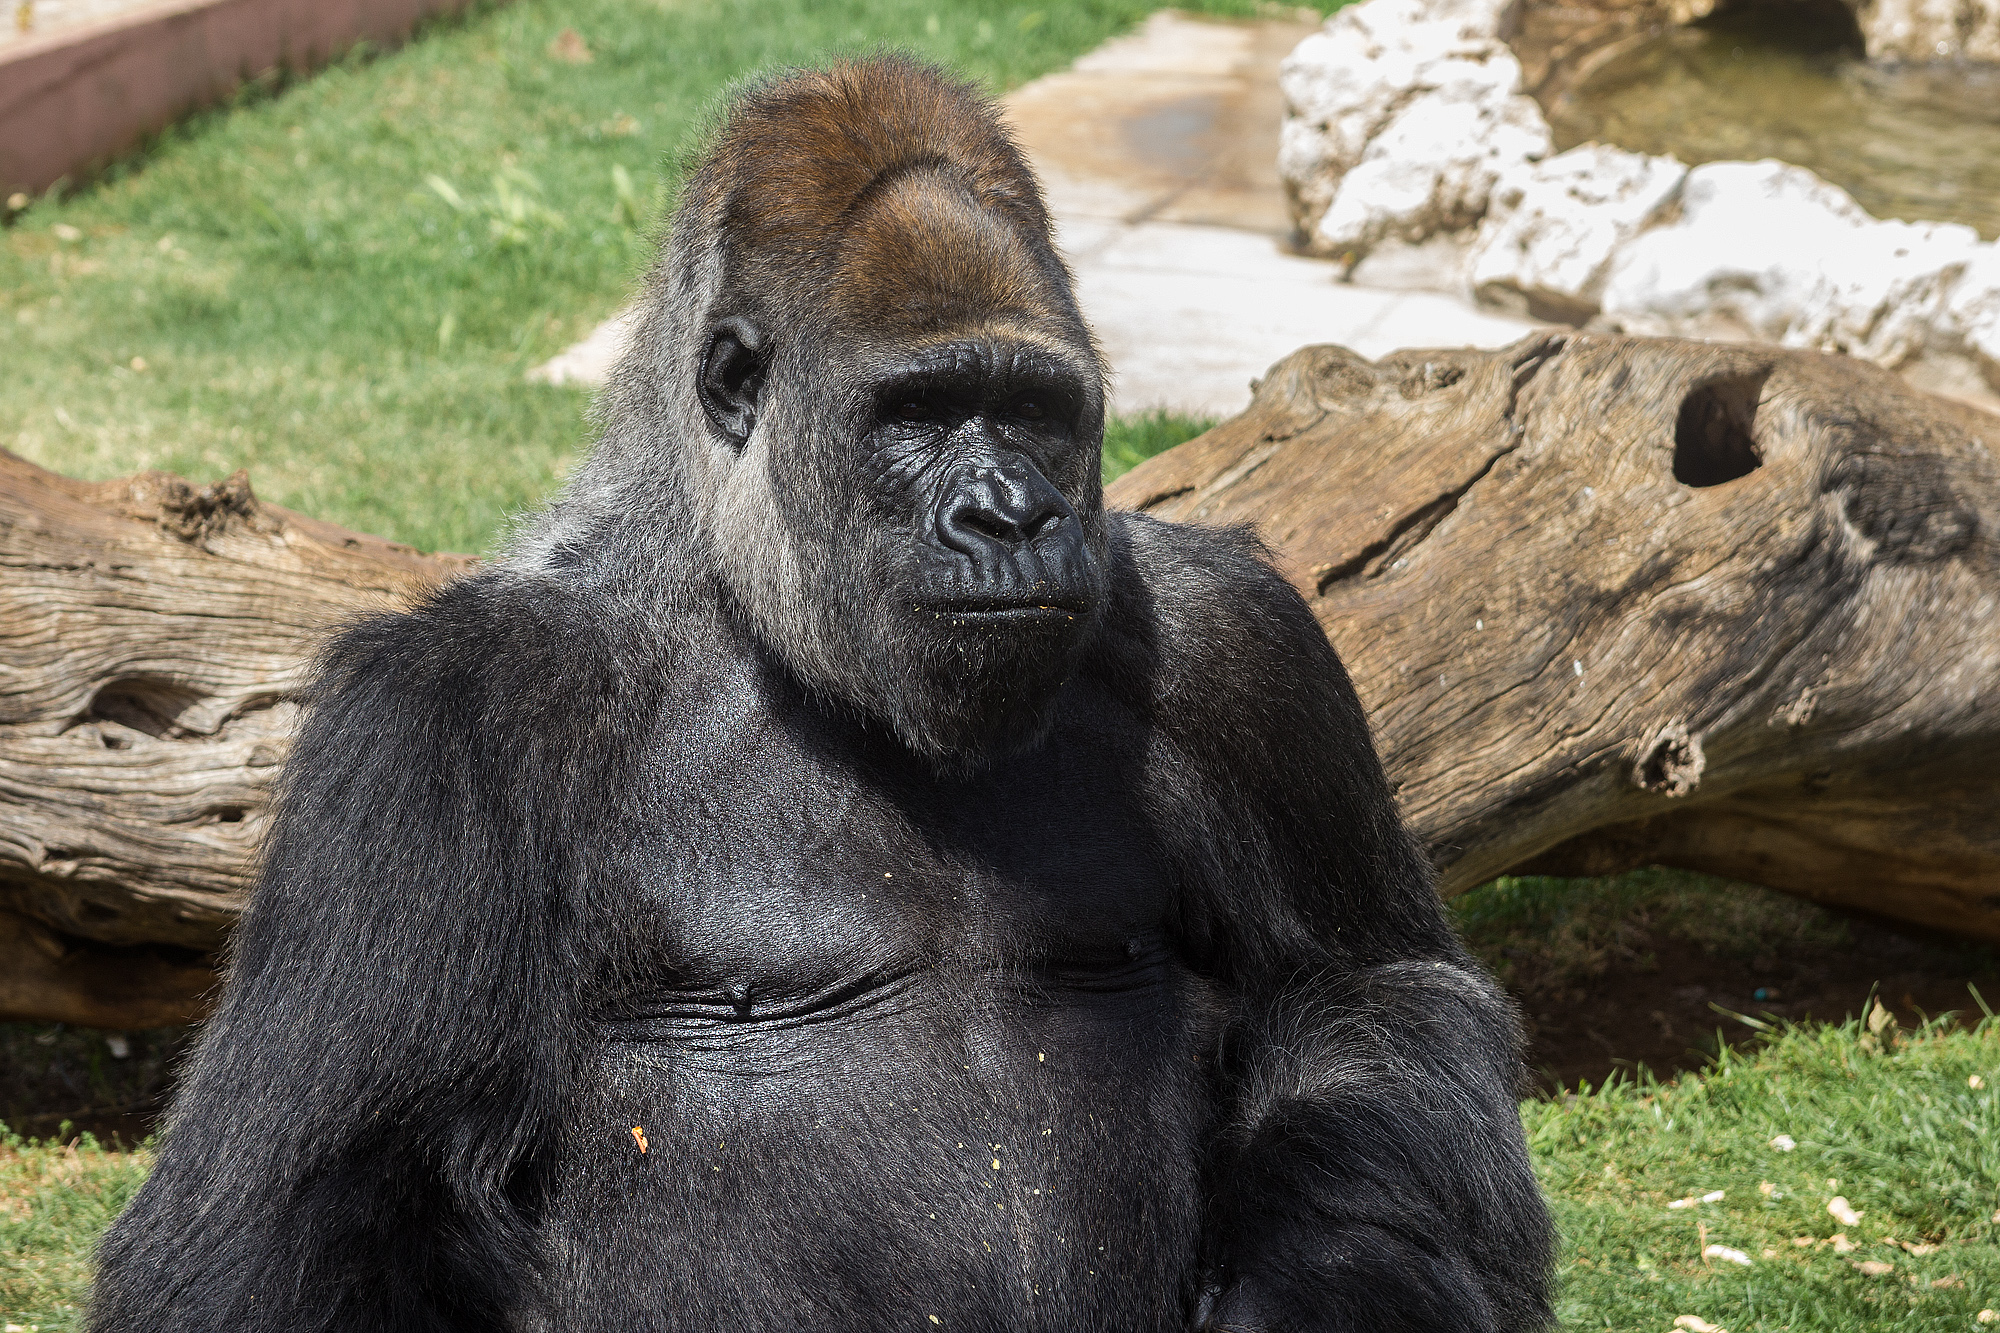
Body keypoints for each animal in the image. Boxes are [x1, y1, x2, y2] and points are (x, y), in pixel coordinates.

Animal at [88, 55, 1552, 1333]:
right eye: (917, 411)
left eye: (1035, 410)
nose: (1010, 516)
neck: (765, 618)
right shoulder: (435, 718)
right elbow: (286, 1209)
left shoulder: (1241, 645)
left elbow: (1367, 991)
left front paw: (1341, 1284)